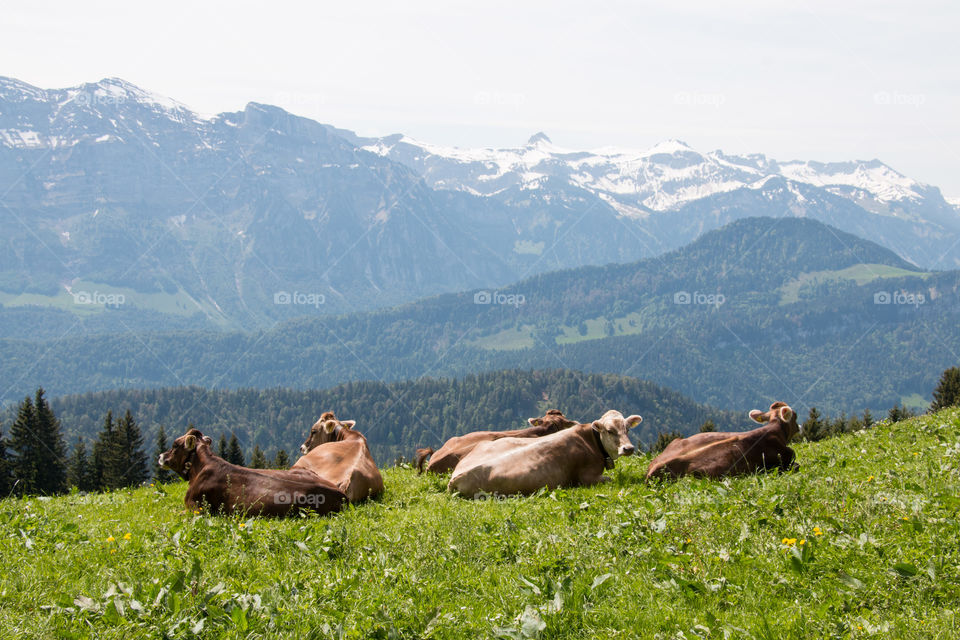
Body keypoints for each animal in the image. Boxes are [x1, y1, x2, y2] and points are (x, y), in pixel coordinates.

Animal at [446, 410, 640, 500]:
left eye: (628, 429)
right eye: (610, 430)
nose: (628, 448)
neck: (591, 441)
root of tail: (455, 476)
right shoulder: (587, 477)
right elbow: (610, 480)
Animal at [644, 400, 804, 480]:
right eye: (795, 415)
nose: (800, 426)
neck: (774, 430)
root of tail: (654, 467)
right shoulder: (785, 461)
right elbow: (796, 466)